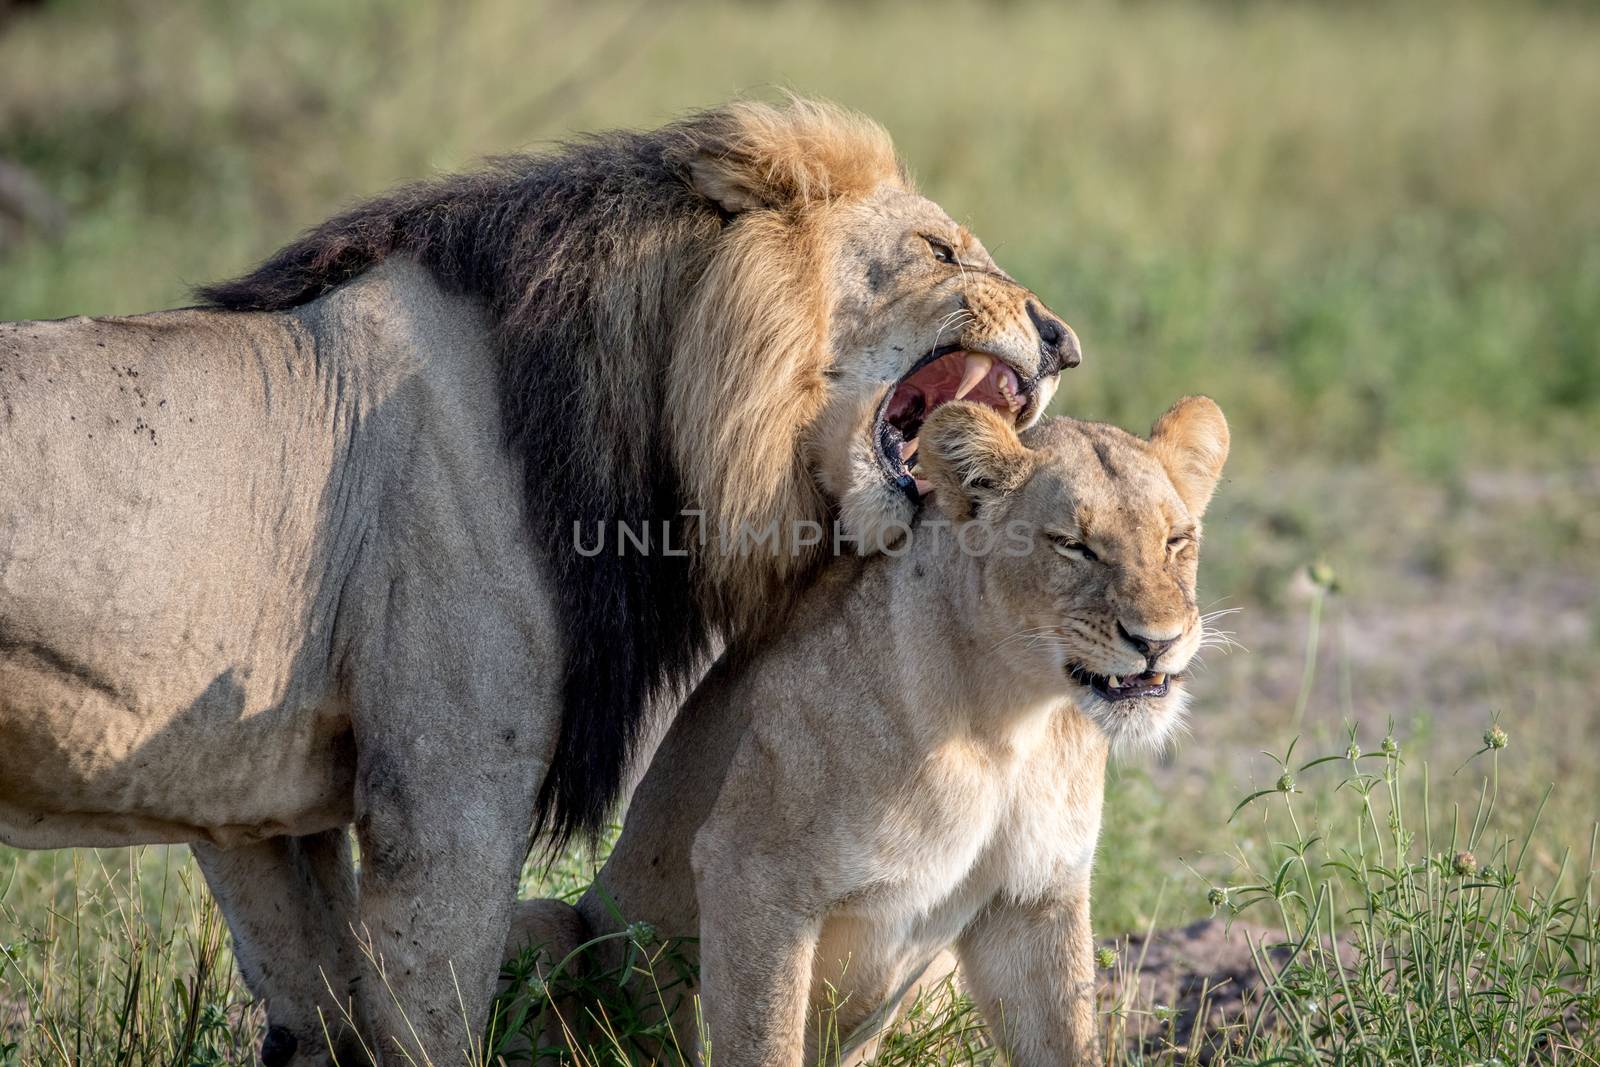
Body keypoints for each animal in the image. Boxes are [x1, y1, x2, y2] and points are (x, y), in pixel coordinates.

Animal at [0, 97, 1081, 1062]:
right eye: (939, 250)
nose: (1064, 339)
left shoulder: (253, 805)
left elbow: (315, 1011)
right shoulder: (448, 791)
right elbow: (427, 1023)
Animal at [505, 398, 1228, 1067]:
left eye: (1176, 540)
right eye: (1074, 544)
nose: (1158, 642)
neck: (1011, 722)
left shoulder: (1034, 899)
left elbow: (1066, 1040)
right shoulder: (751, 871)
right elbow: (765, 1040)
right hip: (544, 922)